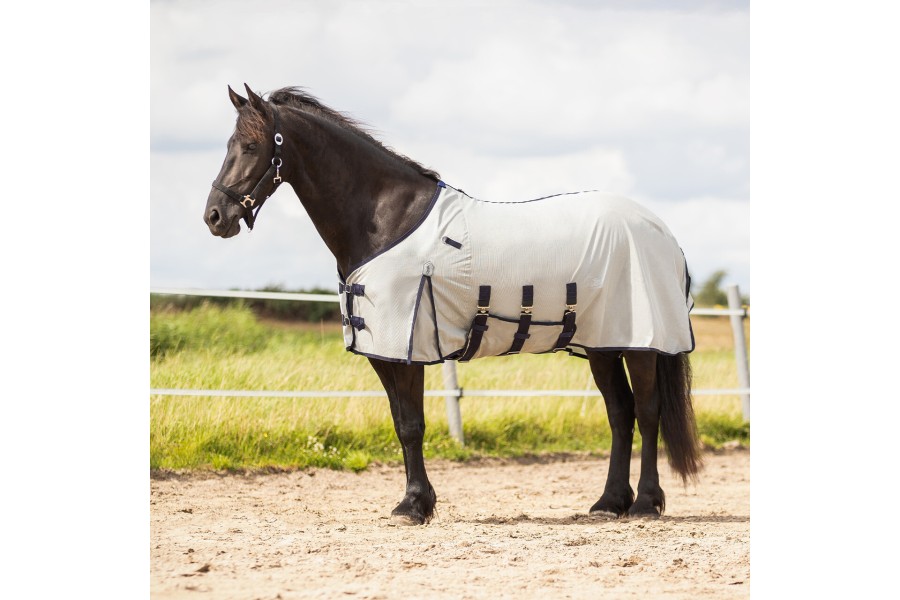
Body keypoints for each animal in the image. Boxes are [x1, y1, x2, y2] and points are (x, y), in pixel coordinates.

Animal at [204, 84, 702, 524]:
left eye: (251, 145)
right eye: (228, 144)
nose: (215, 217)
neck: (385, 217)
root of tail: (663, 233)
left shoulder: (408, 345)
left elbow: (412, 425)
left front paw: (413, 506)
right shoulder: (384, 351)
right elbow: (401, 422)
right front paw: (416, 503)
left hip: (641, 341)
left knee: (648, 411)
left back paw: (645, 504)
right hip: (602, 343)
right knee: (620, 413)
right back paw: (608, 503)